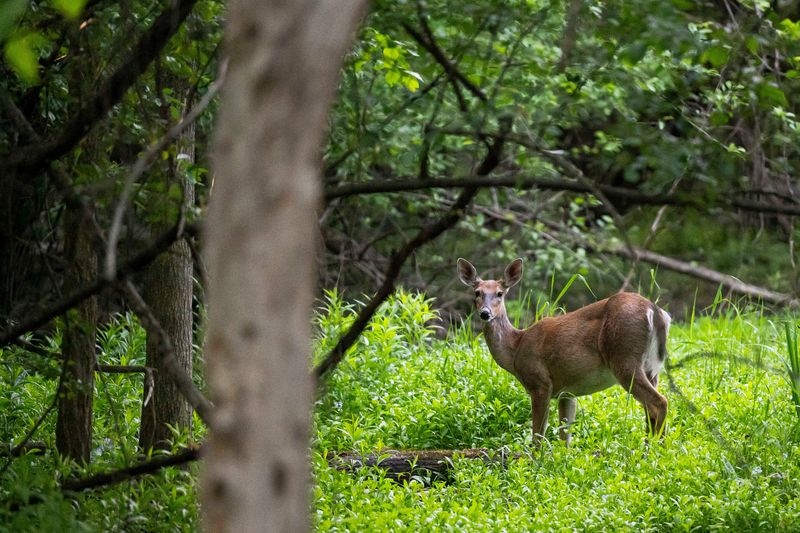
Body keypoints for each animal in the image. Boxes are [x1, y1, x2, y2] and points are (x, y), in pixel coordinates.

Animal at [456, 257, 670, 447]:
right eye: (477, 292)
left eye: (500, 293)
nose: (485, 313)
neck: (516, 348)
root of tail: (654, 311)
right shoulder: (567, 392)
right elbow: (565, 437)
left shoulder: (540, 382)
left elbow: (538, 436)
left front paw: (536, 461)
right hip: (650, 368)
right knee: (650, 408)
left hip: (624, 358)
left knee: (659, 402)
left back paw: (653, 452)